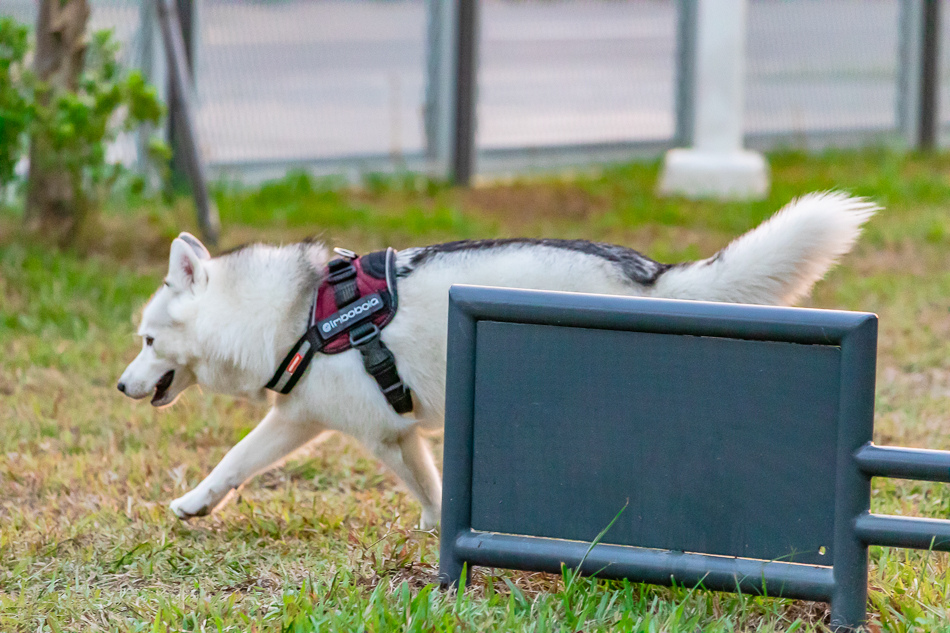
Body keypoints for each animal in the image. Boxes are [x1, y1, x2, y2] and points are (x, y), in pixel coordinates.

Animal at [119, 193, 876, 528]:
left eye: (149, 342)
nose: (121, 385)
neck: (297, 314)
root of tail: (647, 275)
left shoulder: (382, 435)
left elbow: (431, 492)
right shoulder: (315, 421)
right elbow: (234, 462)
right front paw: (194, 503)